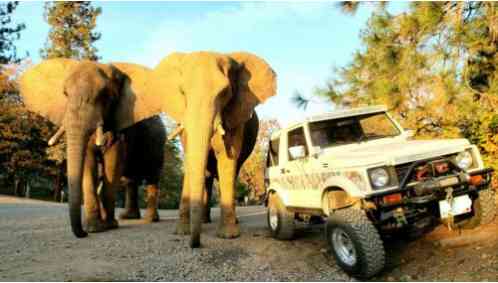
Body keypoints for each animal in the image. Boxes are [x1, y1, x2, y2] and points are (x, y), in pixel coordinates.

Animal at [18, 59, 162, 237]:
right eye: (65, 93)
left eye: (106, 95)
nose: (83, 234)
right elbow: (88, 162)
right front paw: (94, 228)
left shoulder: (120, 125)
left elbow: (112, 162)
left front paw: (109, 225)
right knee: (130, 181)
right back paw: (128, 217)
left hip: (159, 143)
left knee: (152, 178)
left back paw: (149, 219)